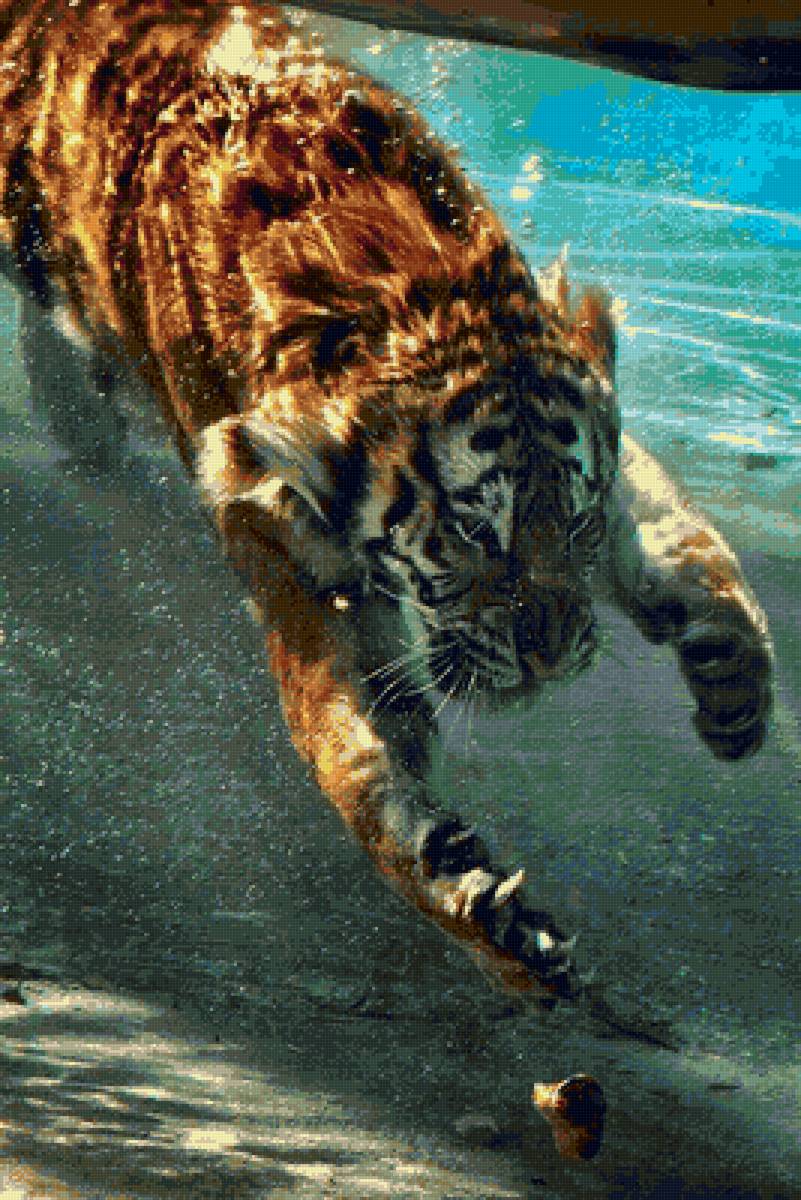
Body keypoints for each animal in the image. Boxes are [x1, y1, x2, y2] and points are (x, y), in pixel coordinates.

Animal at [0, 0, 774, 1000]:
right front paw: (476, 910)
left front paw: (735, 691)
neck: (416, 288)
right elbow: (353, 749)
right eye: (472, 534)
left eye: (573, 521)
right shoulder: (287, 549)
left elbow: (681, 535)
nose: (551, 656)